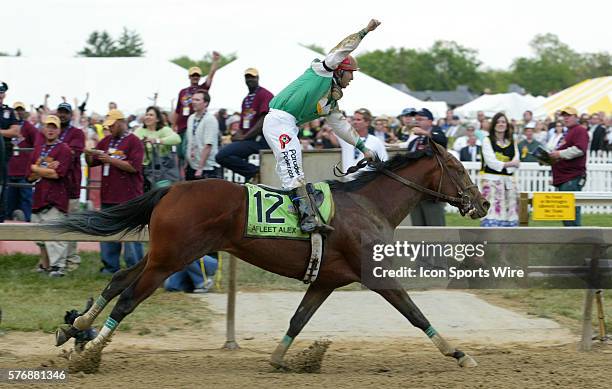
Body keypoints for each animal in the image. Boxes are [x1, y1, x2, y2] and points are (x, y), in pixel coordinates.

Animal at [55, 142, 490, 370]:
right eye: (457, 166)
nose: (483, 202)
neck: (369, 206)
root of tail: (171, 187)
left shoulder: (326, 281)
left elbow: (299, 318)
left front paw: (281, 358)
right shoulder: (375, 275)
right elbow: (415, 314)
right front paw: (459, 353)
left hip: (165, 255)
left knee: (117, 280)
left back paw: (76, 326)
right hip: (170, 260)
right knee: (128, 298)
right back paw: (90, 352)